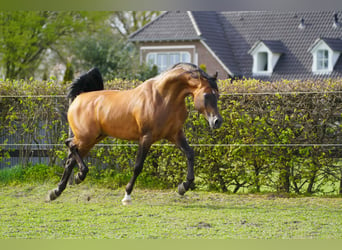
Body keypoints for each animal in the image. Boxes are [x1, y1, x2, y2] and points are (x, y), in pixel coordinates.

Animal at [49, 63, 223, 204]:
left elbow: (190, 154)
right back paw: (78, 177)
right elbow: (138, 166)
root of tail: (79, 97)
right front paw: (127, 196)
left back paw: (58, 191)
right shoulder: (146, 138)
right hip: (86, 137)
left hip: (93, 139)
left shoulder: (175, 134)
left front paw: (183, 187)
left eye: (217, 95)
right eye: (207, 95)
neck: (164, 97)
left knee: (70, 160)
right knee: (69, 144)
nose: (217, 121)